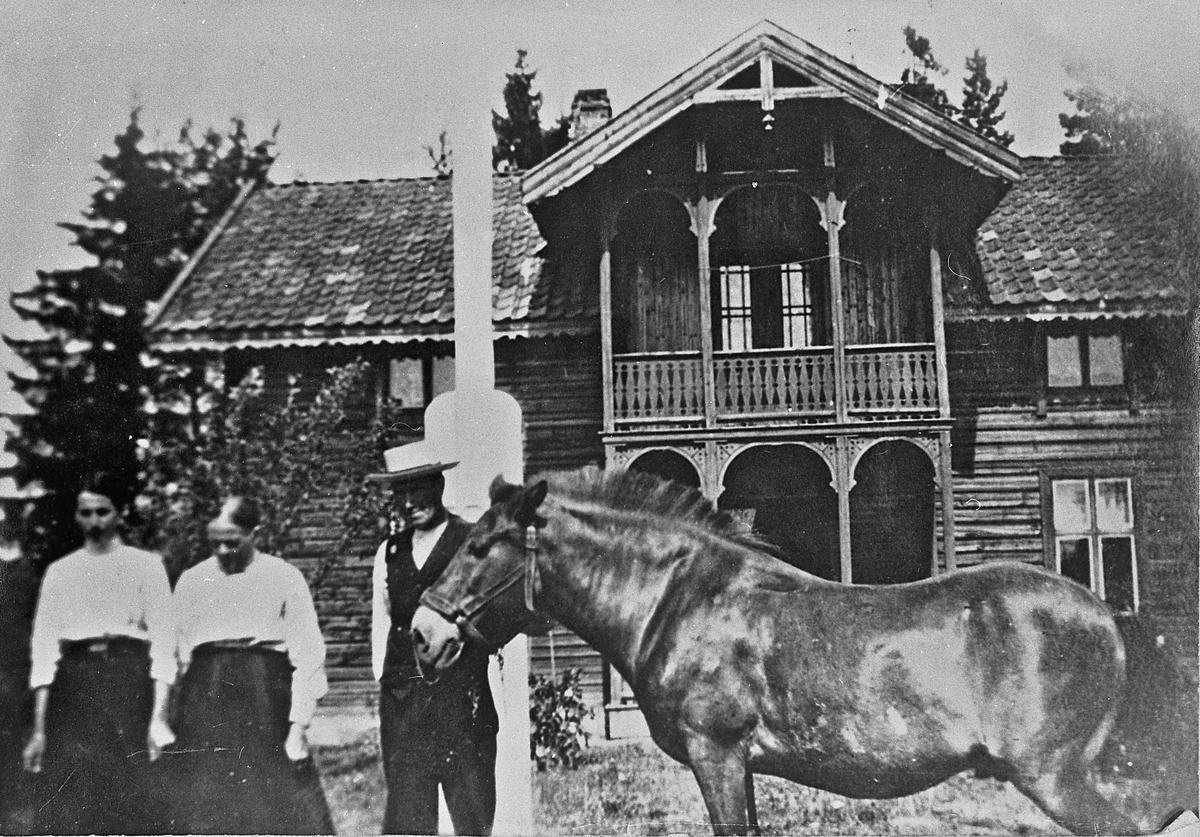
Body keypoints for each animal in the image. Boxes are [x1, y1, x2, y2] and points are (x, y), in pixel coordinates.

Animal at [412, 465, 1190, 829]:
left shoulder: (717, 755)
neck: (684, 599)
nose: (423, 636)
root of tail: (1109, 615)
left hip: (1060, 779)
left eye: (479, 546)